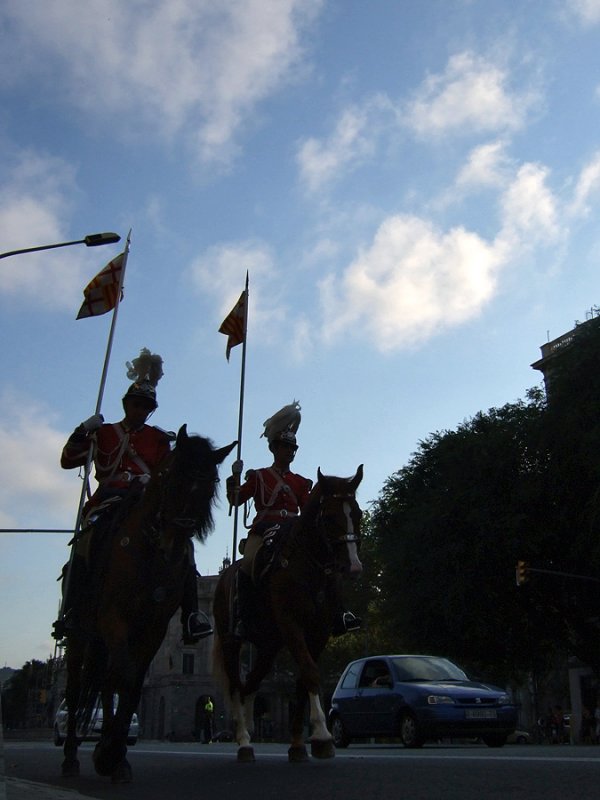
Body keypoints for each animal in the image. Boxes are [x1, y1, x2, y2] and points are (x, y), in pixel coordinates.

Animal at [60, 428, 234, 784]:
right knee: (75, 689)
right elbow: (124, 679)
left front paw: (114, 756)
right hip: (81, 636)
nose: (174, 545)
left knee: (106, 681)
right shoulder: (115, 620)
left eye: (212, 485)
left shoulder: (152, 629)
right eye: (171, 476)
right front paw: (108, 753)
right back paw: (71, 756)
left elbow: (132, 685)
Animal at [213, 462, 364, 764]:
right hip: (231, 642)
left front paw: (299, 743)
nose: (353, 567)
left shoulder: (319, 632)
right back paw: (243, 741)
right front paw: (322, 735)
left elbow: (303, 680)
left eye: (358, 514)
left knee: (250, 683)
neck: (309, 567)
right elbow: (310, 672)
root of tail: (223, 578)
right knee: (236, 685)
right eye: (330, 517)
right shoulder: (290, 624)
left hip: (268, 645)